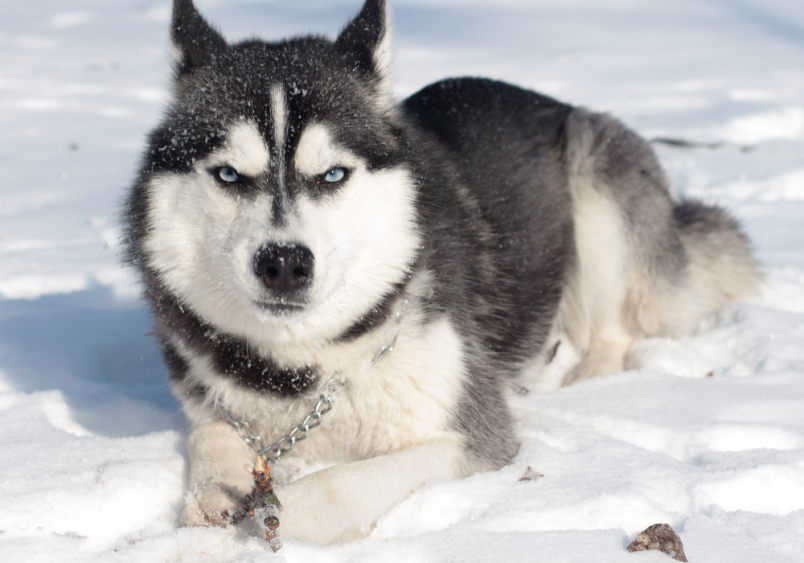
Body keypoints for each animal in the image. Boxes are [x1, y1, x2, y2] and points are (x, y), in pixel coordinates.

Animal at [124, 0, 760, 548]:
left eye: (333, 175)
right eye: (229, 174)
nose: (284, 263)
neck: (301, 369)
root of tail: (551, 101)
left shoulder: (473, 439)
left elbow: (339, 484)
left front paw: (280, 512)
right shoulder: (214, 396)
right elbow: (208, 431)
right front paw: (215, 489)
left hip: (596, 180)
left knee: (613, 333)